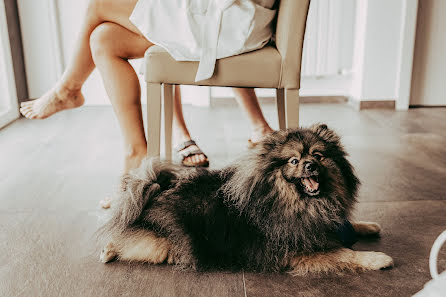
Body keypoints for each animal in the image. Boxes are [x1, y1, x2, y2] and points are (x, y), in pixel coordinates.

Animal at [98, 123, 394, 274]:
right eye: (294, 161)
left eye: (318, 156)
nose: (310, 165)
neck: (303, 202)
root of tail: (155, 192)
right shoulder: (300, 251)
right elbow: (345, 253)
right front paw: (378, 258)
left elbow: (347, 224)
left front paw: (369, 226)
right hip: (161, 247)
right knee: (128, 242)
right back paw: (108, 251)